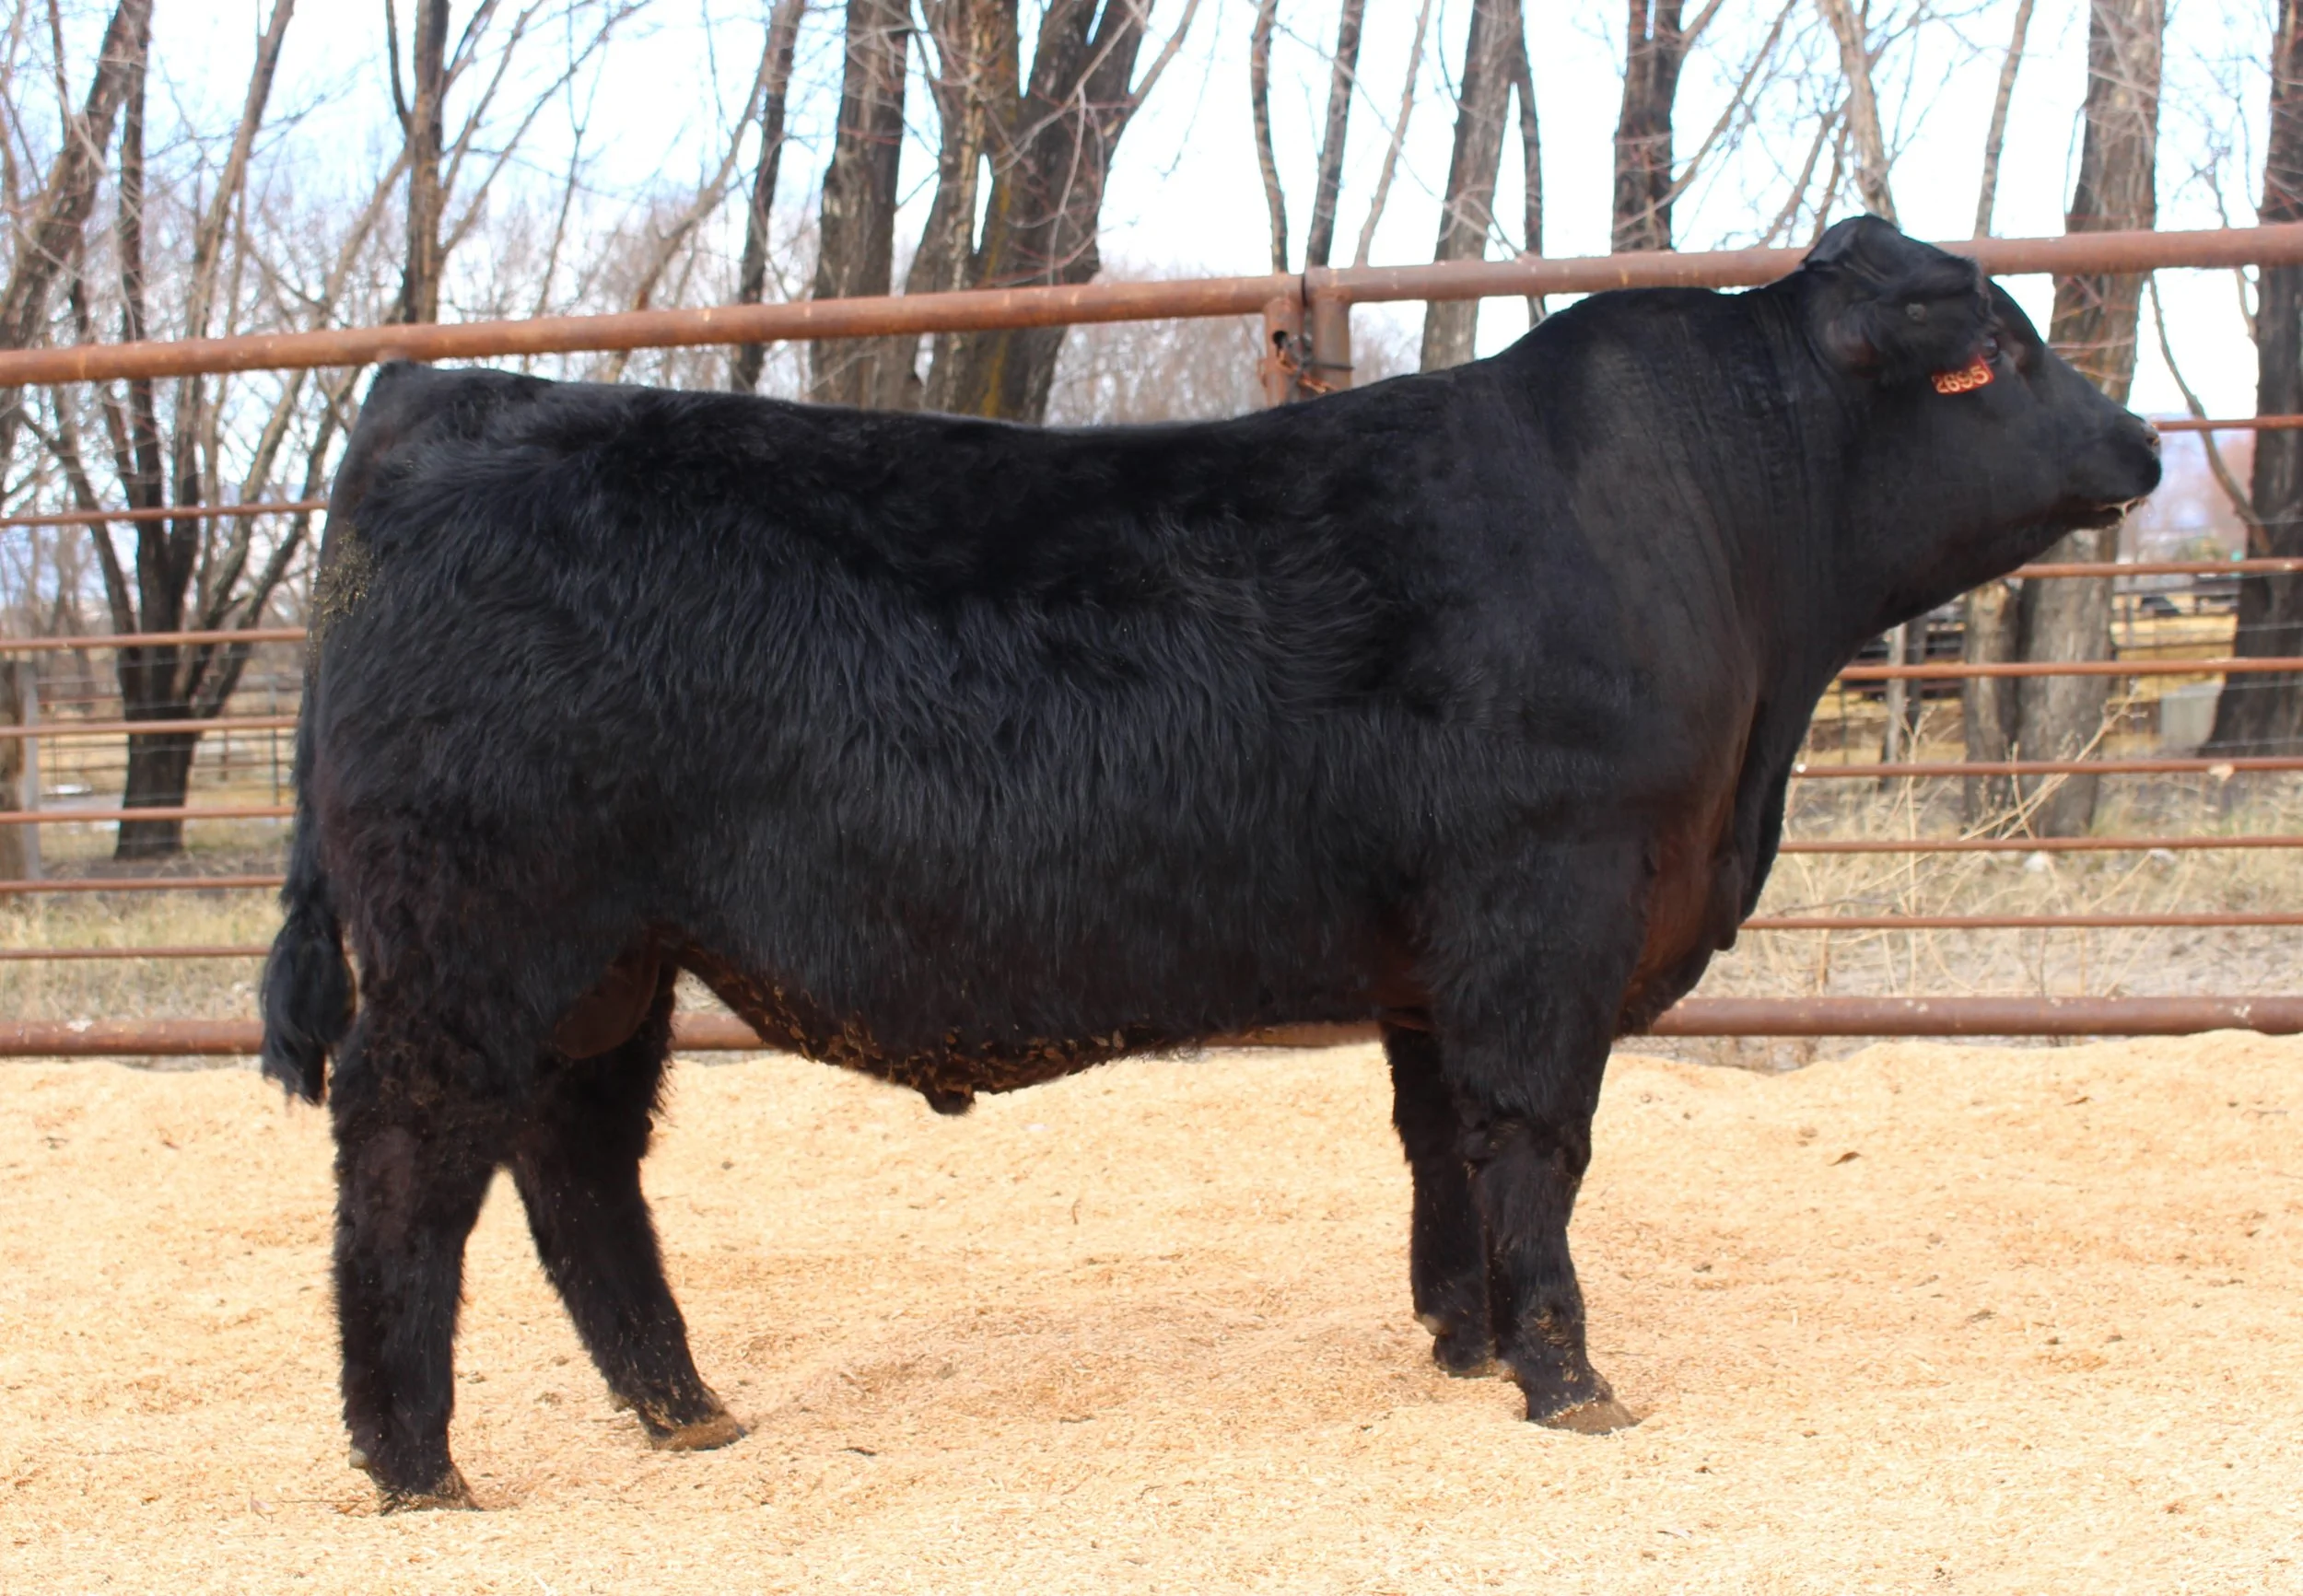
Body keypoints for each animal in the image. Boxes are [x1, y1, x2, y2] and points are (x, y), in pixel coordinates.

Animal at [260, 217, 2160, 1508]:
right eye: (1991, 353)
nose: (2142, 444)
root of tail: (437, 394)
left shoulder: (1431, 954)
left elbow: (1442, 1151)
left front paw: (1463, 1346)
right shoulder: (1546, 906)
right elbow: (1535, 1144)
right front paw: (1567, 1379)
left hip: (609, 957)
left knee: (579, 1162)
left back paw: (686, 1409)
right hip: (477, 928)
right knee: (408, 1154)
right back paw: (416, 1460)